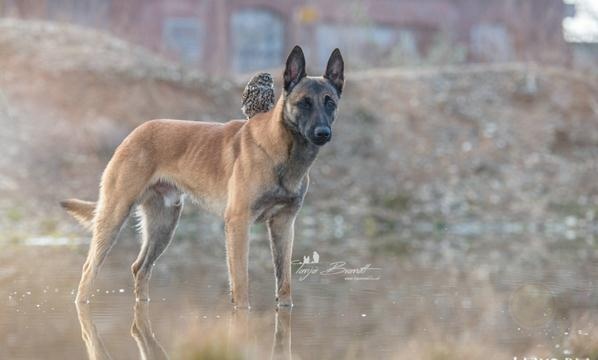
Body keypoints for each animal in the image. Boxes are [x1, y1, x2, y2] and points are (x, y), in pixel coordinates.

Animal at [61, 45, 344, 310]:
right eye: (304, 102)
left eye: (330, 102)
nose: (323, 133)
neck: (282, 152)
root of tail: (136, 131)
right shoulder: (238, 223)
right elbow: (241, 284)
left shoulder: (284, 224)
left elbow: (284, 282)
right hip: (115, 216)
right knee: (89, 270)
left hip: (164, 226)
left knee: (140, 268)